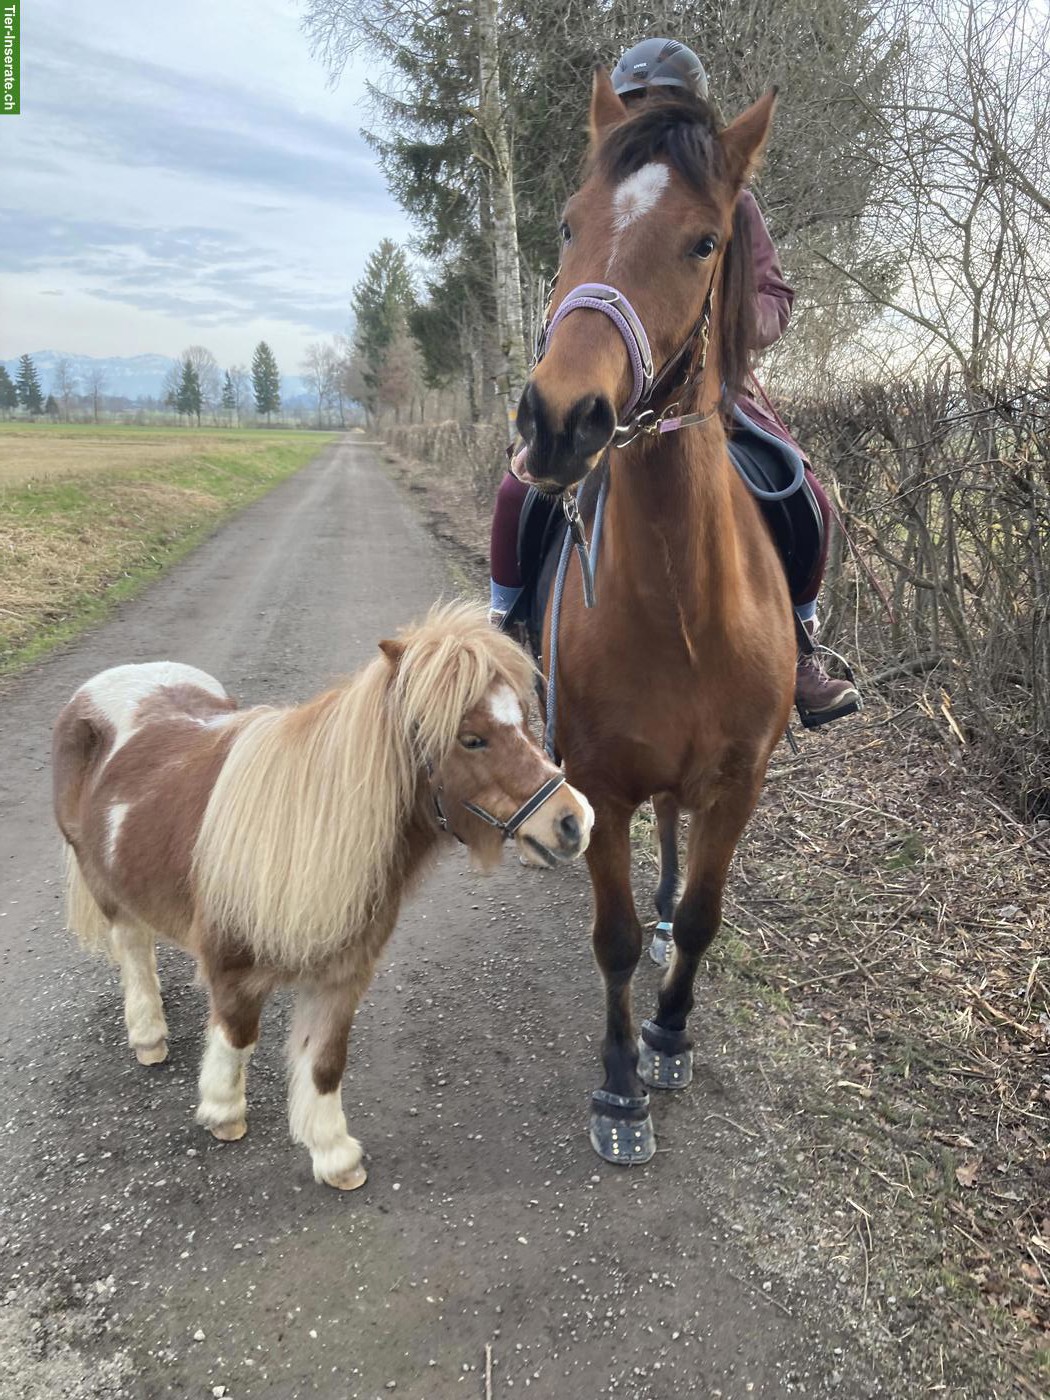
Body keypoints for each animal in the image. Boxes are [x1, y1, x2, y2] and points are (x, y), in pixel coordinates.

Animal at [52, 602, 593, 1190]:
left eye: (524, 719)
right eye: (471, 738)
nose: (575, 821)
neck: (304, 830)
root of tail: (112, 682)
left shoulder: (341, 975)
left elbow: (326, 1061)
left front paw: (334, 1154)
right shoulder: (232, 970)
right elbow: (237, 1037)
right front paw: (223, 1111)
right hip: (104, 884)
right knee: (133, 949)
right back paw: (149, 1036)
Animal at [515, 73, 795, 1163]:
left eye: (706, 242)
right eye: (567, 223)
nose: (561, 420)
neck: (683, 607)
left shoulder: (739, 781)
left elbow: (709, 916)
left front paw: (671, 1036)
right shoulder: (601, 782)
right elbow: (617, 938)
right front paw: (620, 1084)